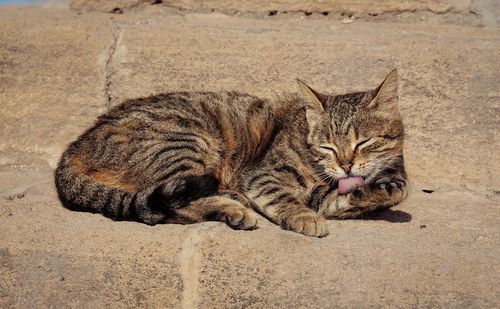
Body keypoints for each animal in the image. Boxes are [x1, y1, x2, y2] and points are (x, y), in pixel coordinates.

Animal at [54, 69, 408, 236]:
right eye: (327, 147)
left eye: (363, 142)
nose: (346, 166)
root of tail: (76, 145)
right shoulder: (264, 177)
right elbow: (287, 199)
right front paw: (305, 218)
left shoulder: (328, 193)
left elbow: (384, 192)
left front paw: (381, 190)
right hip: (188, 142)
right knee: (171, 205)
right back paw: (232, 209)